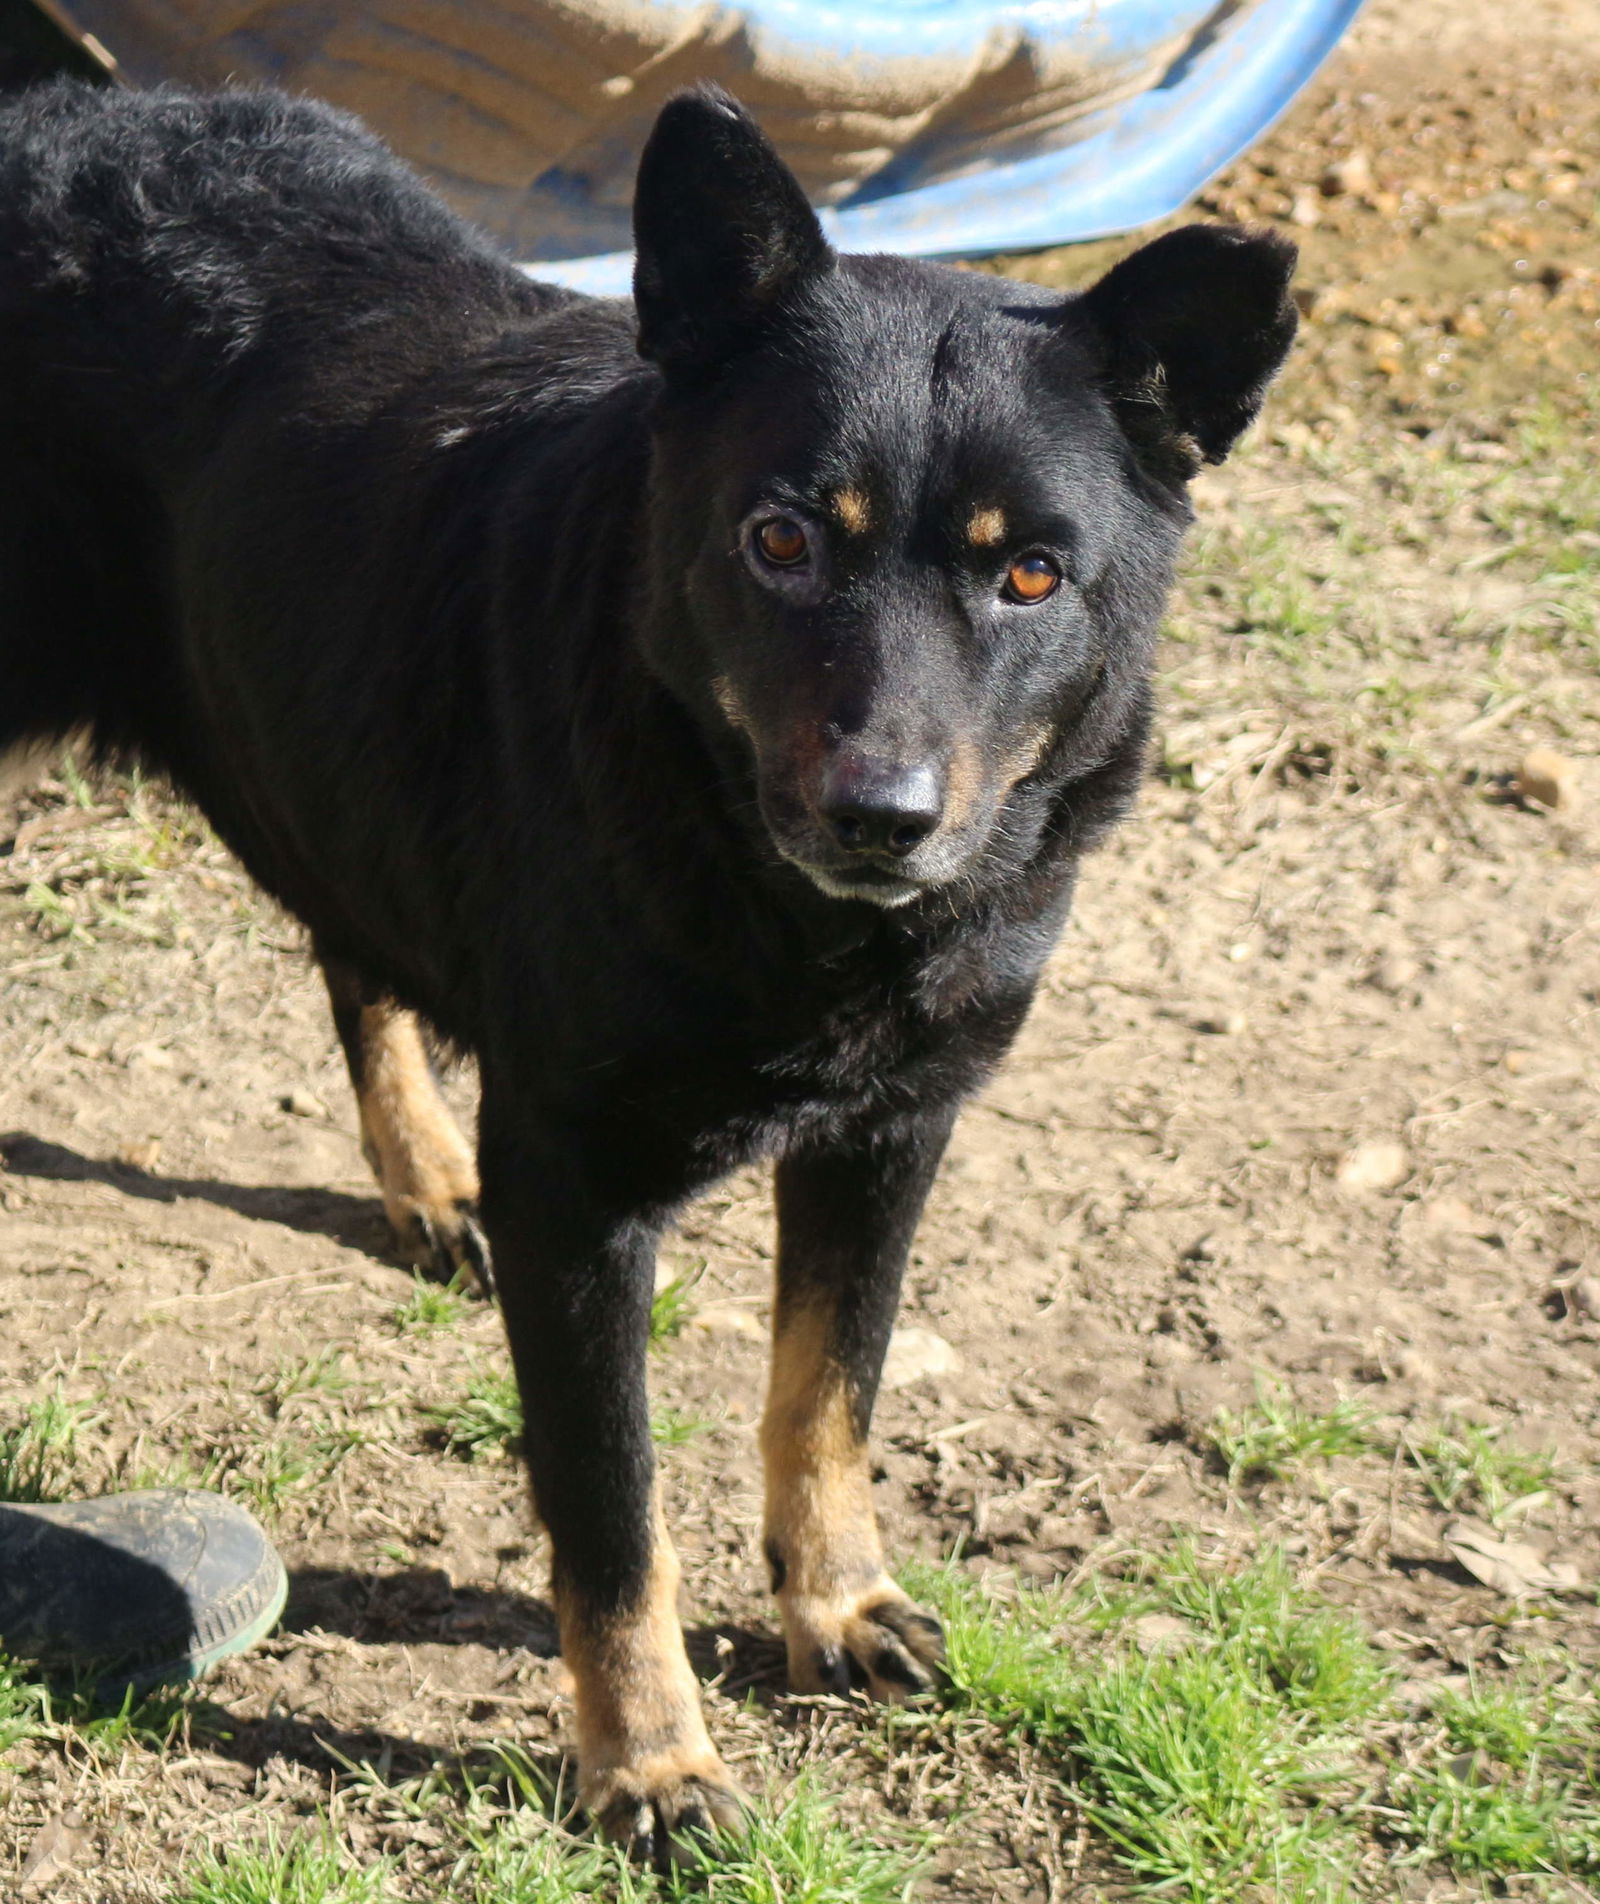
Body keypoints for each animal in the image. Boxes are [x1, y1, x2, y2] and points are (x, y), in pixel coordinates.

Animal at [0, 78, 1302, 1858]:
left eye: (1031, 572)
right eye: (779, 539)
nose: (883, 816)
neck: (780, 900)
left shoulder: (893, 1134)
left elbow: (829, 1390)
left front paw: (835, 1606)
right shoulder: (580, 1197)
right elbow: (614, 1520)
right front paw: (653, 1765)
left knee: (353, 950)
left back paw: (423, 1179)